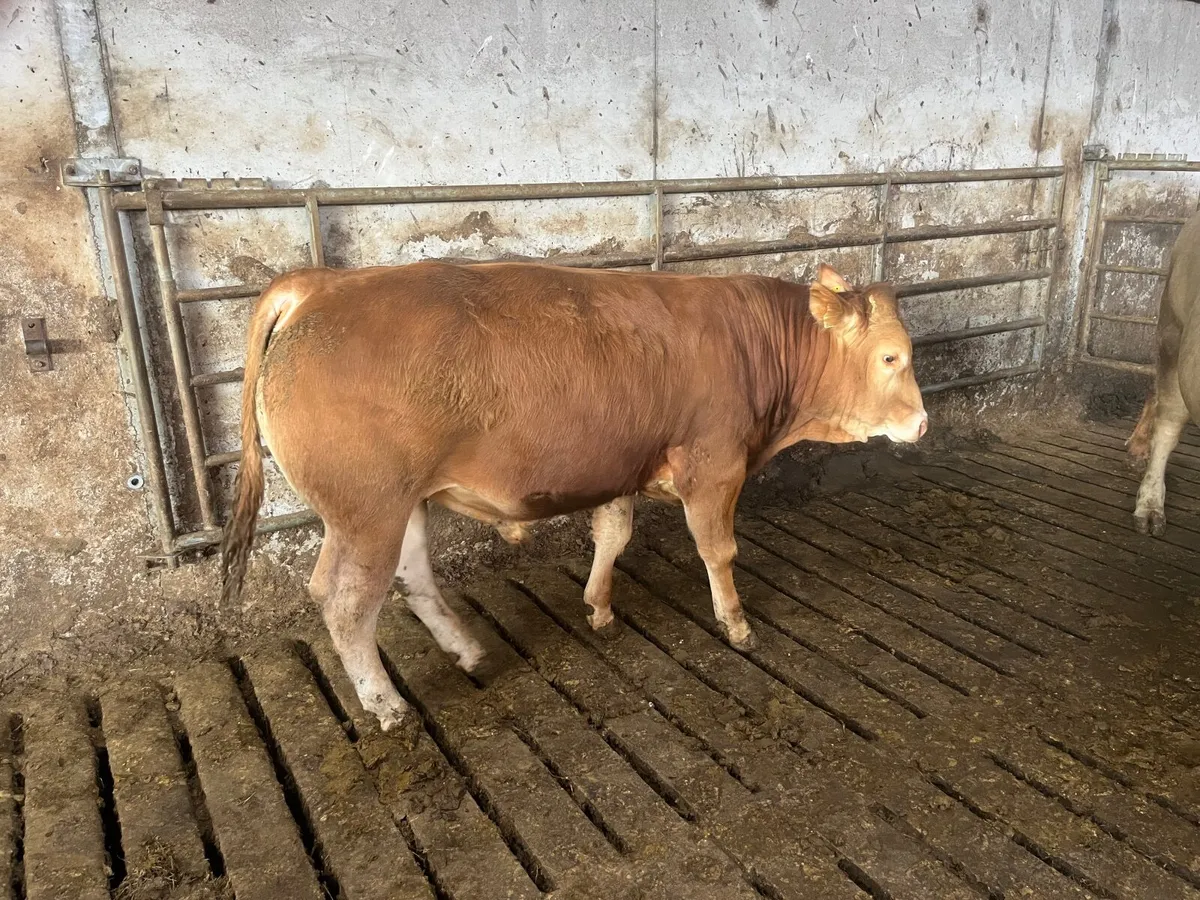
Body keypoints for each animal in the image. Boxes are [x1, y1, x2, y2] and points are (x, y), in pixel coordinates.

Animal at [220, 260, 928, 731]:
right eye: (893, 357)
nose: (922, 424)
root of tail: (321, 283)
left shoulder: (619, 466)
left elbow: (613, 535)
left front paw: (598, 605)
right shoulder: (715, 466)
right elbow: (718, 551)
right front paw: (735, 622)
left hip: (402, 505)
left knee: (411, 579)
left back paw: (467, 650)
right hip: (366, 510)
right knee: (345, 602)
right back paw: (386, 704)